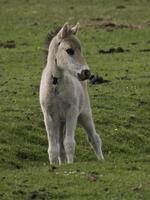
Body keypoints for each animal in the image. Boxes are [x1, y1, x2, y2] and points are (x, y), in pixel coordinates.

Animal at [39, 22, 103, 165]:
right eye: (69, 50)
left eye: (81, 49)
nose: (86, 72)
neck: (55, 85)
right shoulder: (49, 116)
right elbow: (53, 148)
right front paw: (54, 165)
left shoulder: (72, 112)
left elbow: (69, 143)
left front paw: (70, 164)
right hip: (60, 122)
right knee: (60, 146)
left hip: (84, 115)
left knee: (94, 138)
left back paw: (101, 160)